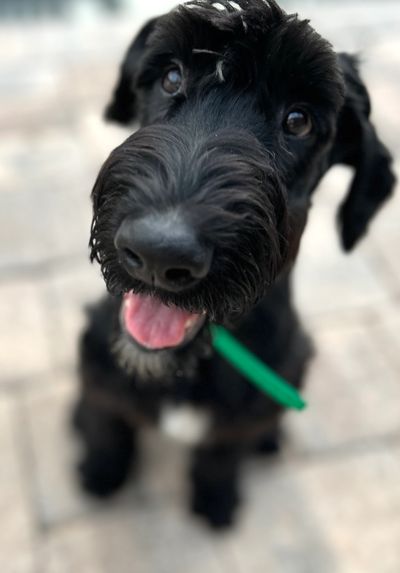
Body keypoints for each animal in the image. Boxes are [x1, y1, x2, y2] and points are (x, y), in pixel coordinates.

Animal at [74, 0, 394, 528]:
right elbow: (107, 424)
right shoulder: (99, 366)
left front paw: (215, 499)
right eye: (171, 76)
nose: (159, 253)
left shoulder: (249, 406)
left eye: (299, 120)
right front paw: (100, 472)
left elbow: (220, 454)